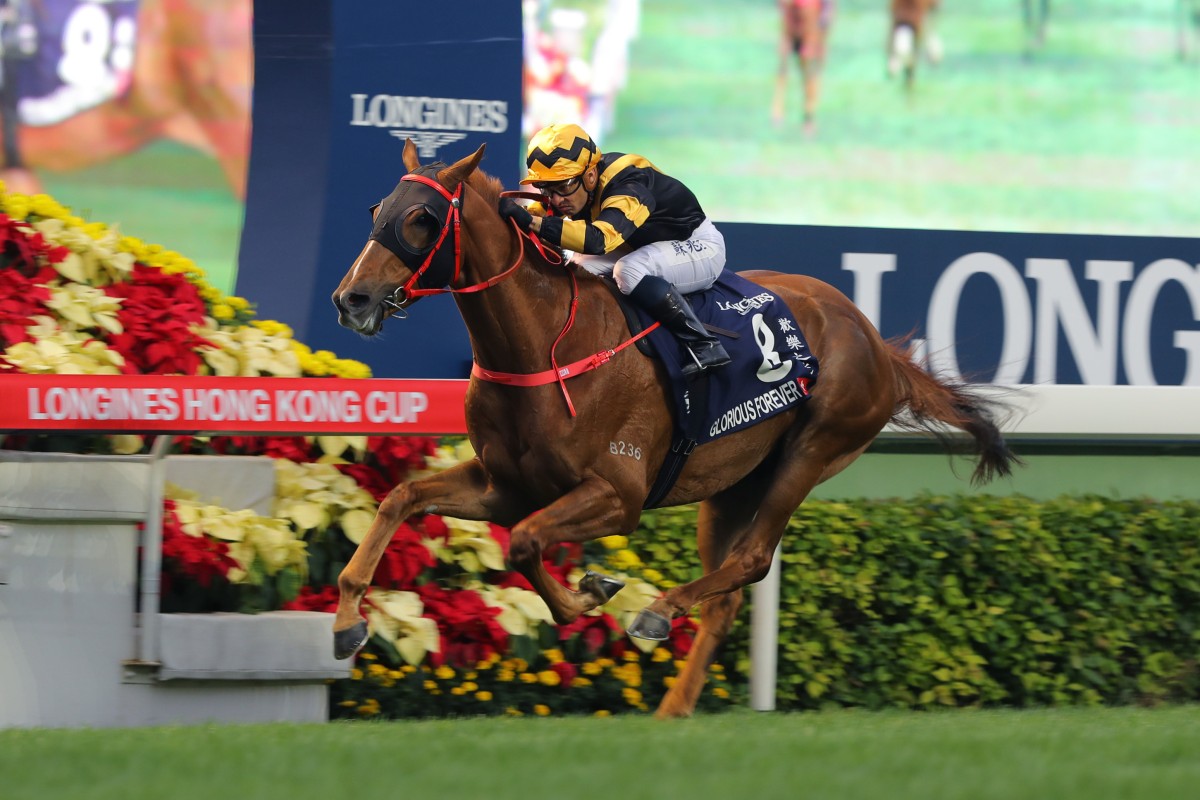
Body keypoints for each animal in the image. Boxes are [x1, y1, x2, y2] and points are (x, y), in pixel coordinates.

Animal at [331, 139, 1022, 719]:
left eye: (421, 219)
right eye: (378, 209)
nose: (351, 299)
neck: (546, 345)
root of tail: (874, 339)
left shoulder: (617, 496)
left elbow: (526, 543)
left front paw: (593, 591)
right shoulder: (506, 485)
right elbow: (401, 498)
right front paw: (346, 623)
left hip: (812, 449)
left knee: (751, 559)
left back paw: (659, 613)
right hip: (733, 485)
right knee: (727, 595)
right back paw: (673, 706)